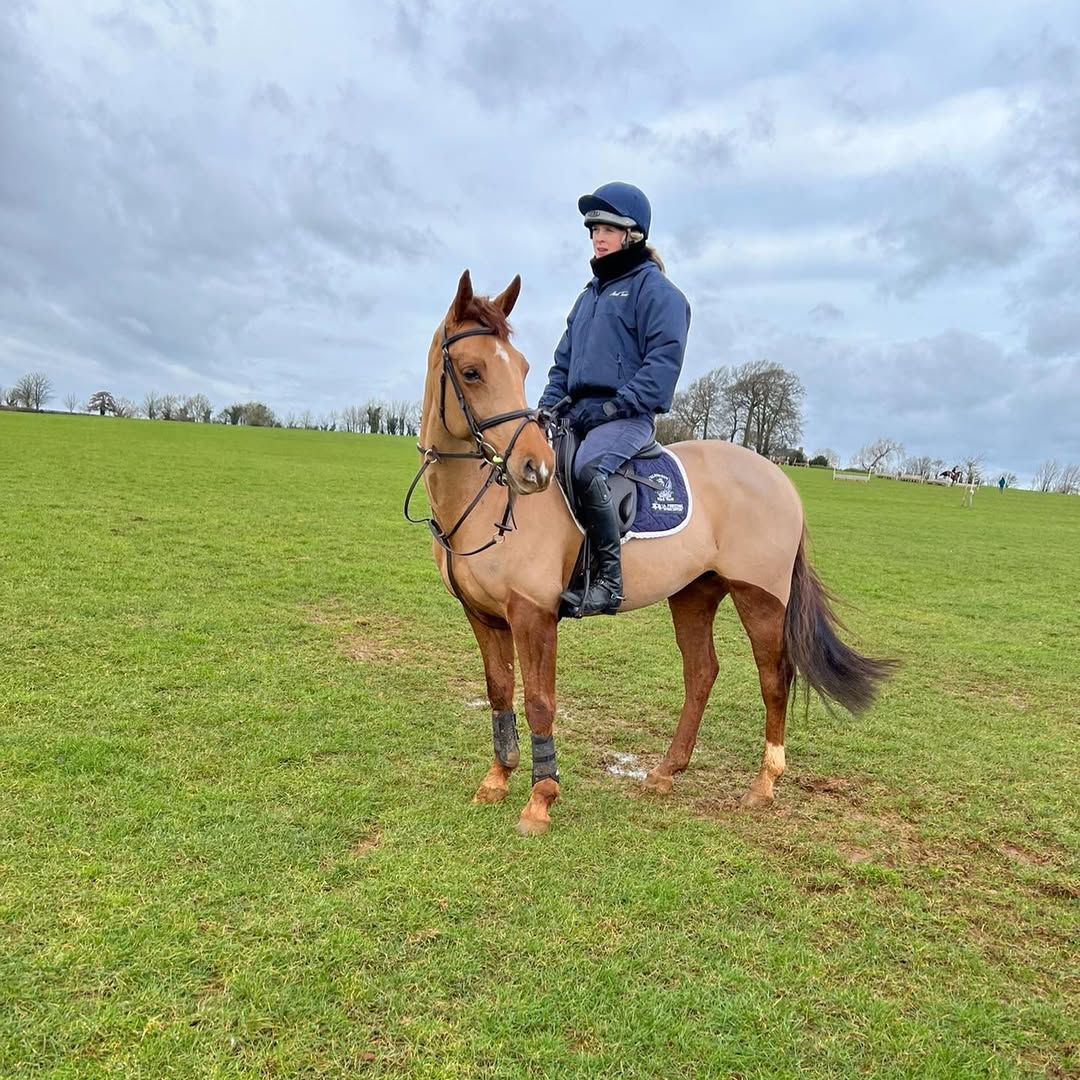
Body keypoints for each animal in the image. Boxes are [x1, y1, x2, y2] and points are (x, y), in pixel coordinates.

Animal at [408, 270, 894, 836]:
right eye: (472, 372)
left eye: (522, 368)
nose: (535, 468)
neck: (482, 500)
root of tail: (778, 477)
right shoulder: (484, 617)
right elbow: (500, 693)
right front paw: (497, 779)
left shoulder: (533, 615)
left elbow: (539, 702)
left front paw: (540, 800)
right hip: (694, 593)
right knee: (701, 673)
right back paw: (666, 771)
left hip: (760, 597)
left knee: (774, 678)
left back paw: (763, 784)